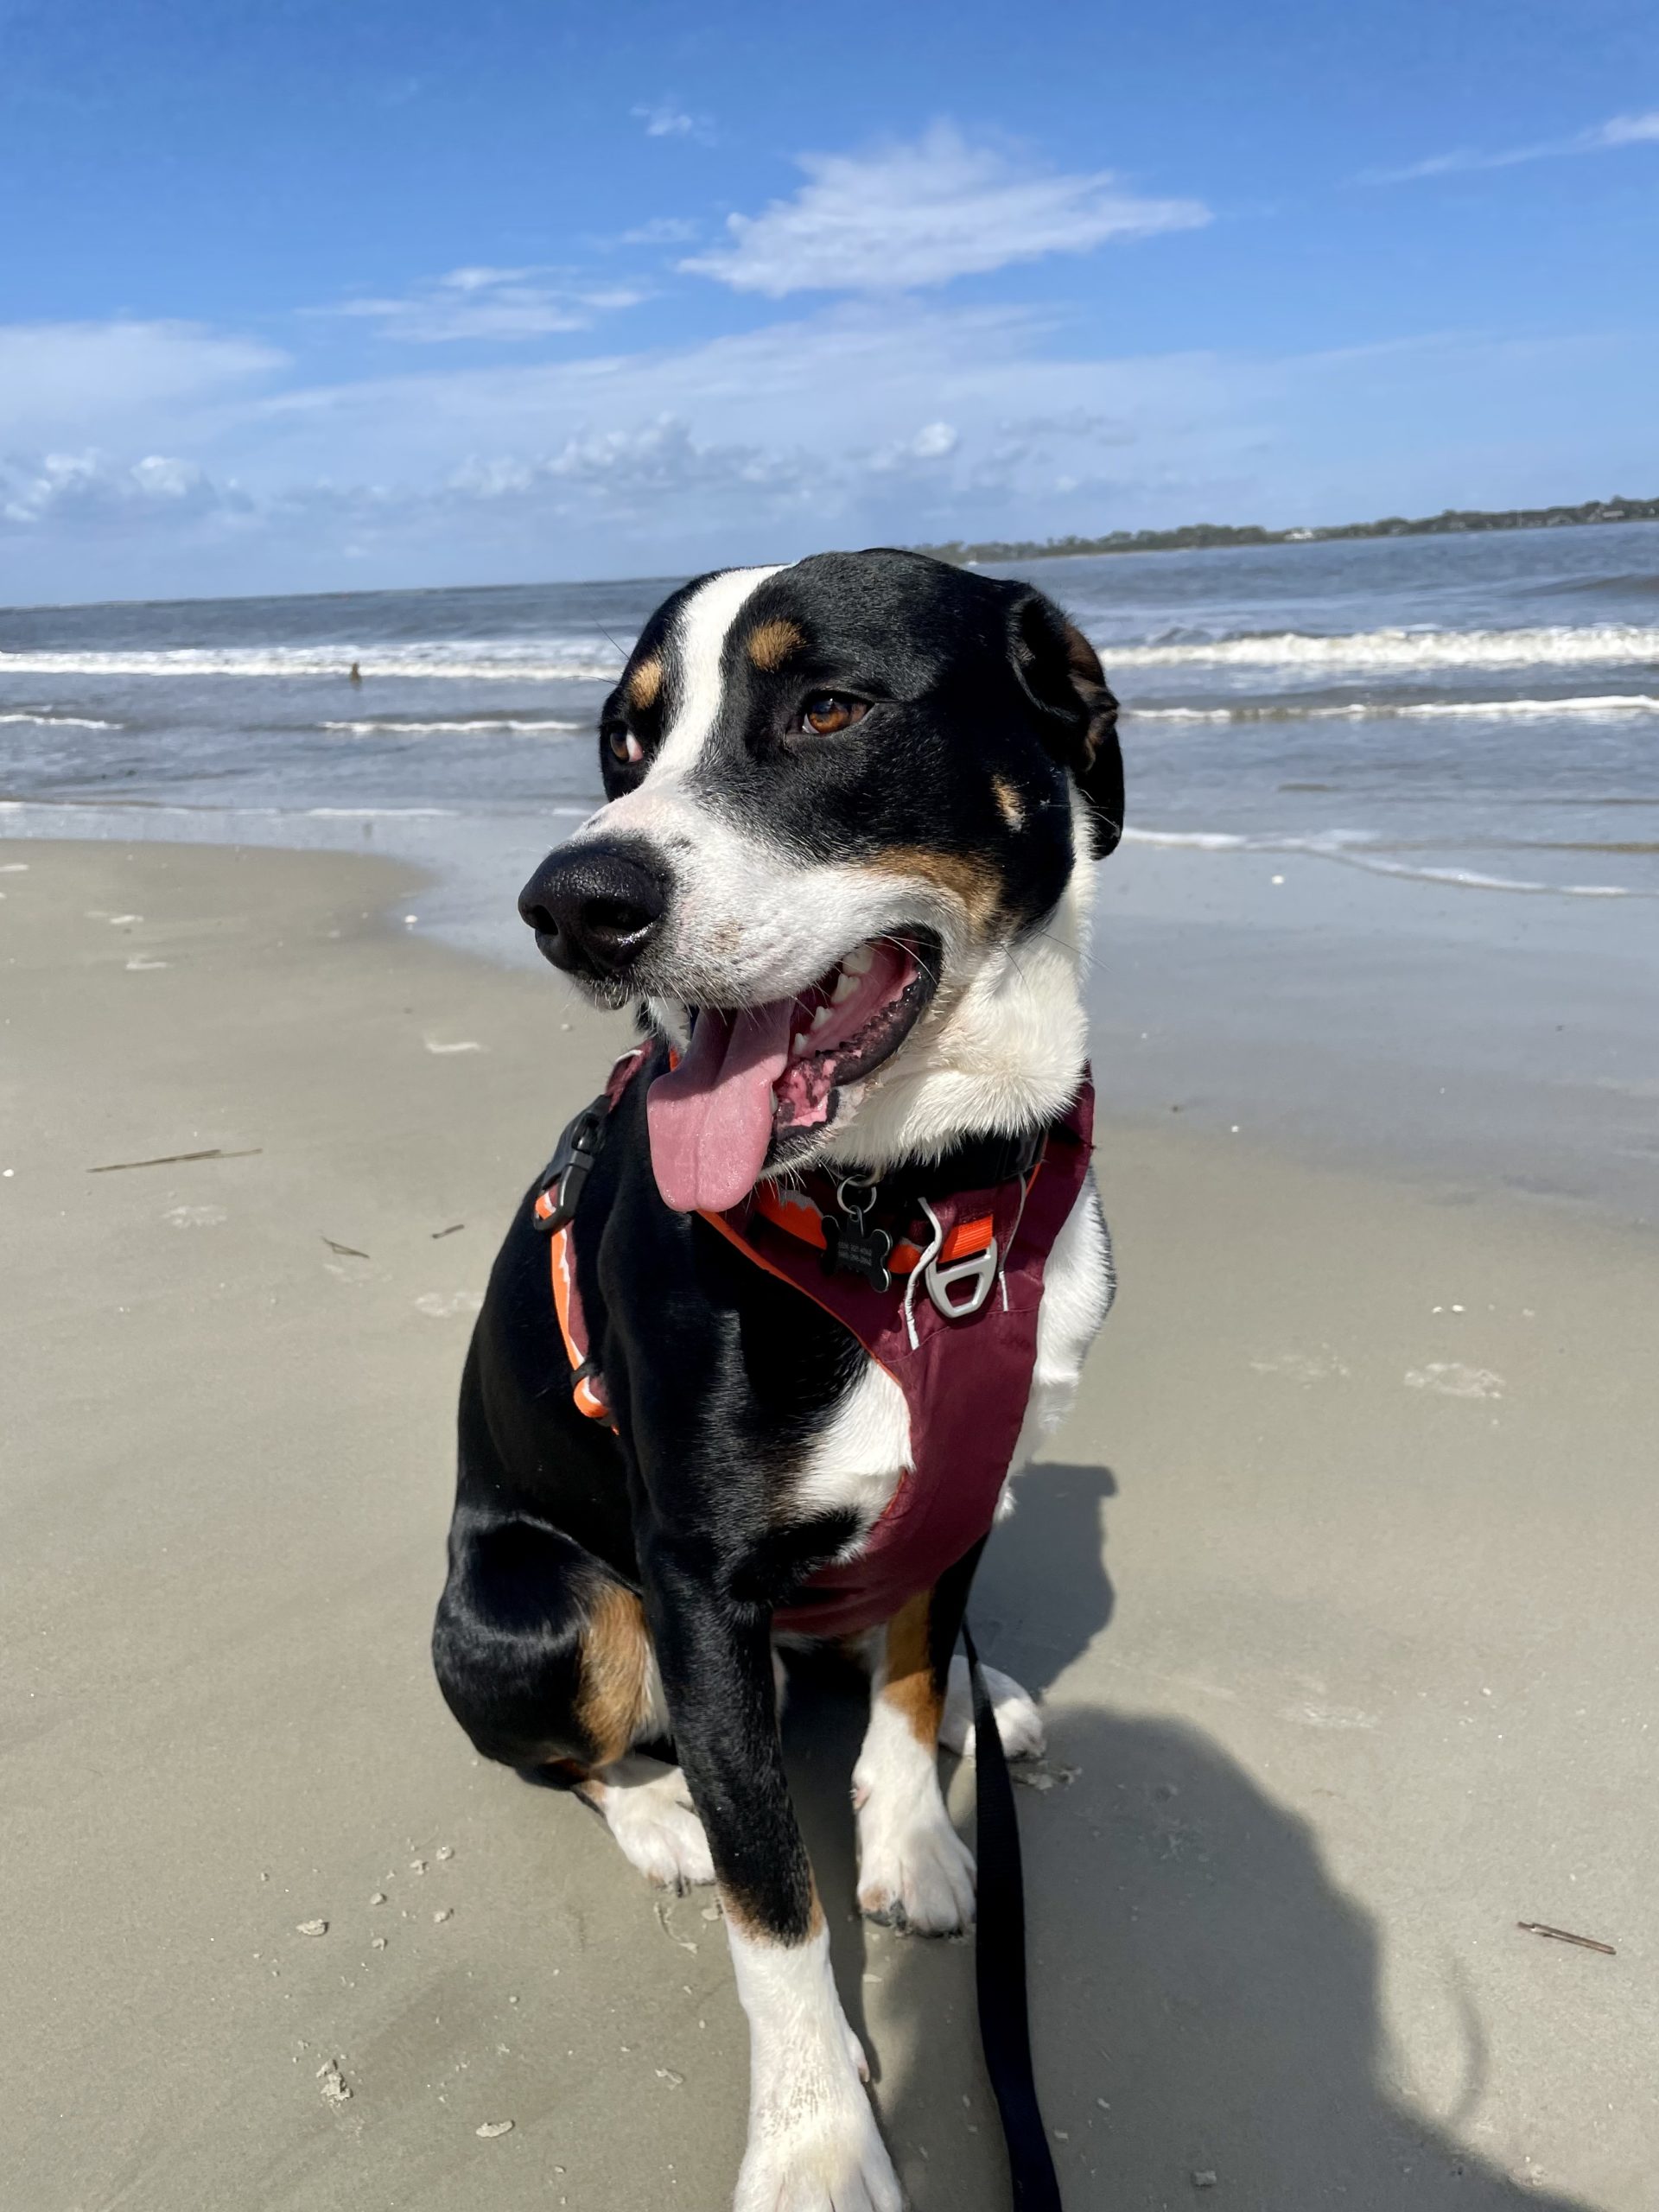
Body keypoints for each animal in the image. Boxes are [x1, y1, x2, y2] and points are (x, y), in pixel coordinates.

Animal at [433, 548, 1122, 2209]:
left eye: (827, 710)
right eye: (627, 743)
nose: (573, 904)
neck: (924, 1202)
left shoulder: (965, 1489)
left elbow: (914, 1673)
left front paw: (918, 1838)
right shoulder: (696, 1582)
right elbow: (772, 1906)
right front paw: (813, 2133)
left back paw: (987, 1700)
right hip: (549, 1605)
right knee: (575, 1749)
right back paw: (656, 1816)